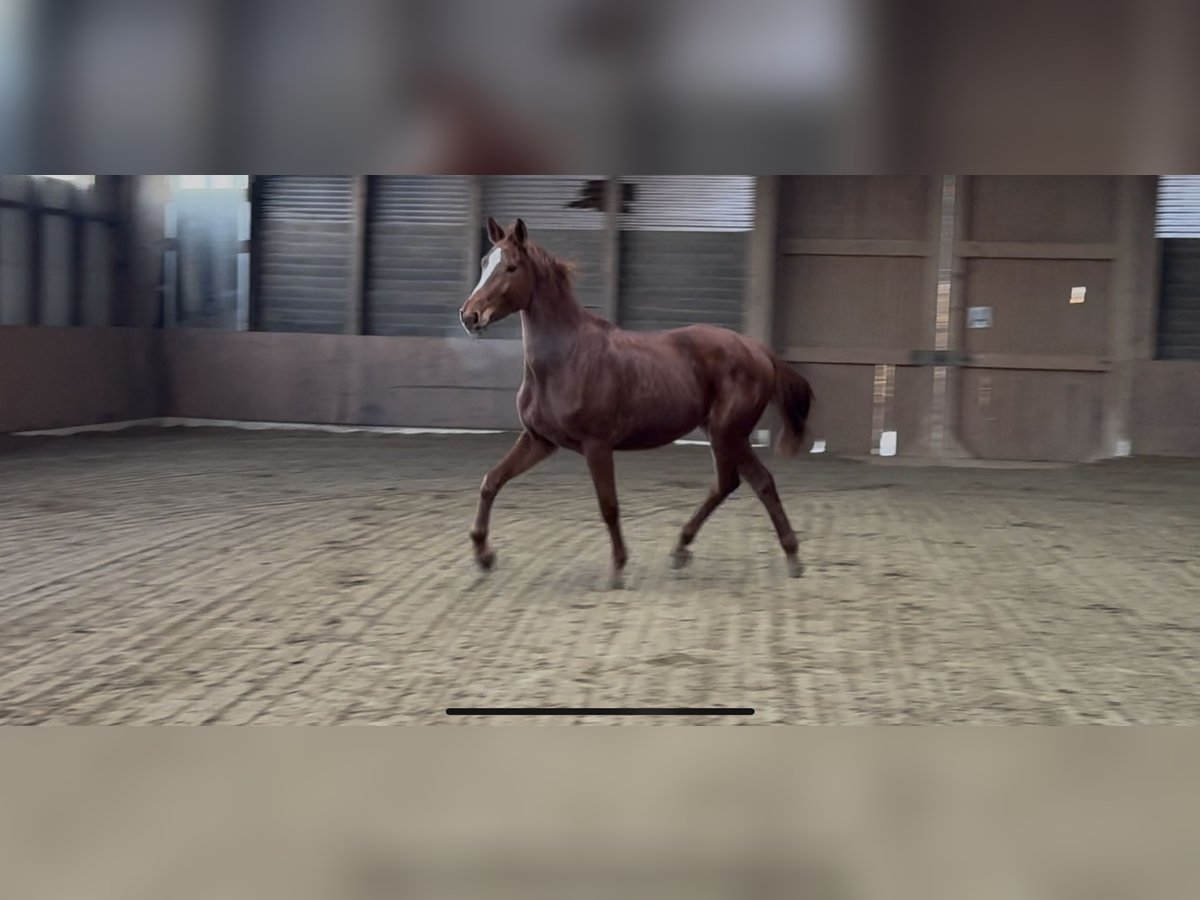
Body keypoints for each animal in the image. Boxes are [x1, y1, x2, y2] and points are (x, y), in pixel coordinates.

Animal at [459, 217, 814, 589]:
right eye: (485, 262)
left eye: (511, 267)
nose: (470, 315)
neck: (567, 359)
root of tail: (759, 351)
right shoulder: (538, 440)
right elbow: (491, 481)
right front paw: (484, 556)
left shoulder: (597, 445)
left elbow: (608, 505)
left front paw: (617, 567)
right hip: (727, 435)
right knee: (742, 482)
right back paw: (692, 549)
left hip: (727, 433)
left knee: (750, 482)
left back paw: (782, 556)